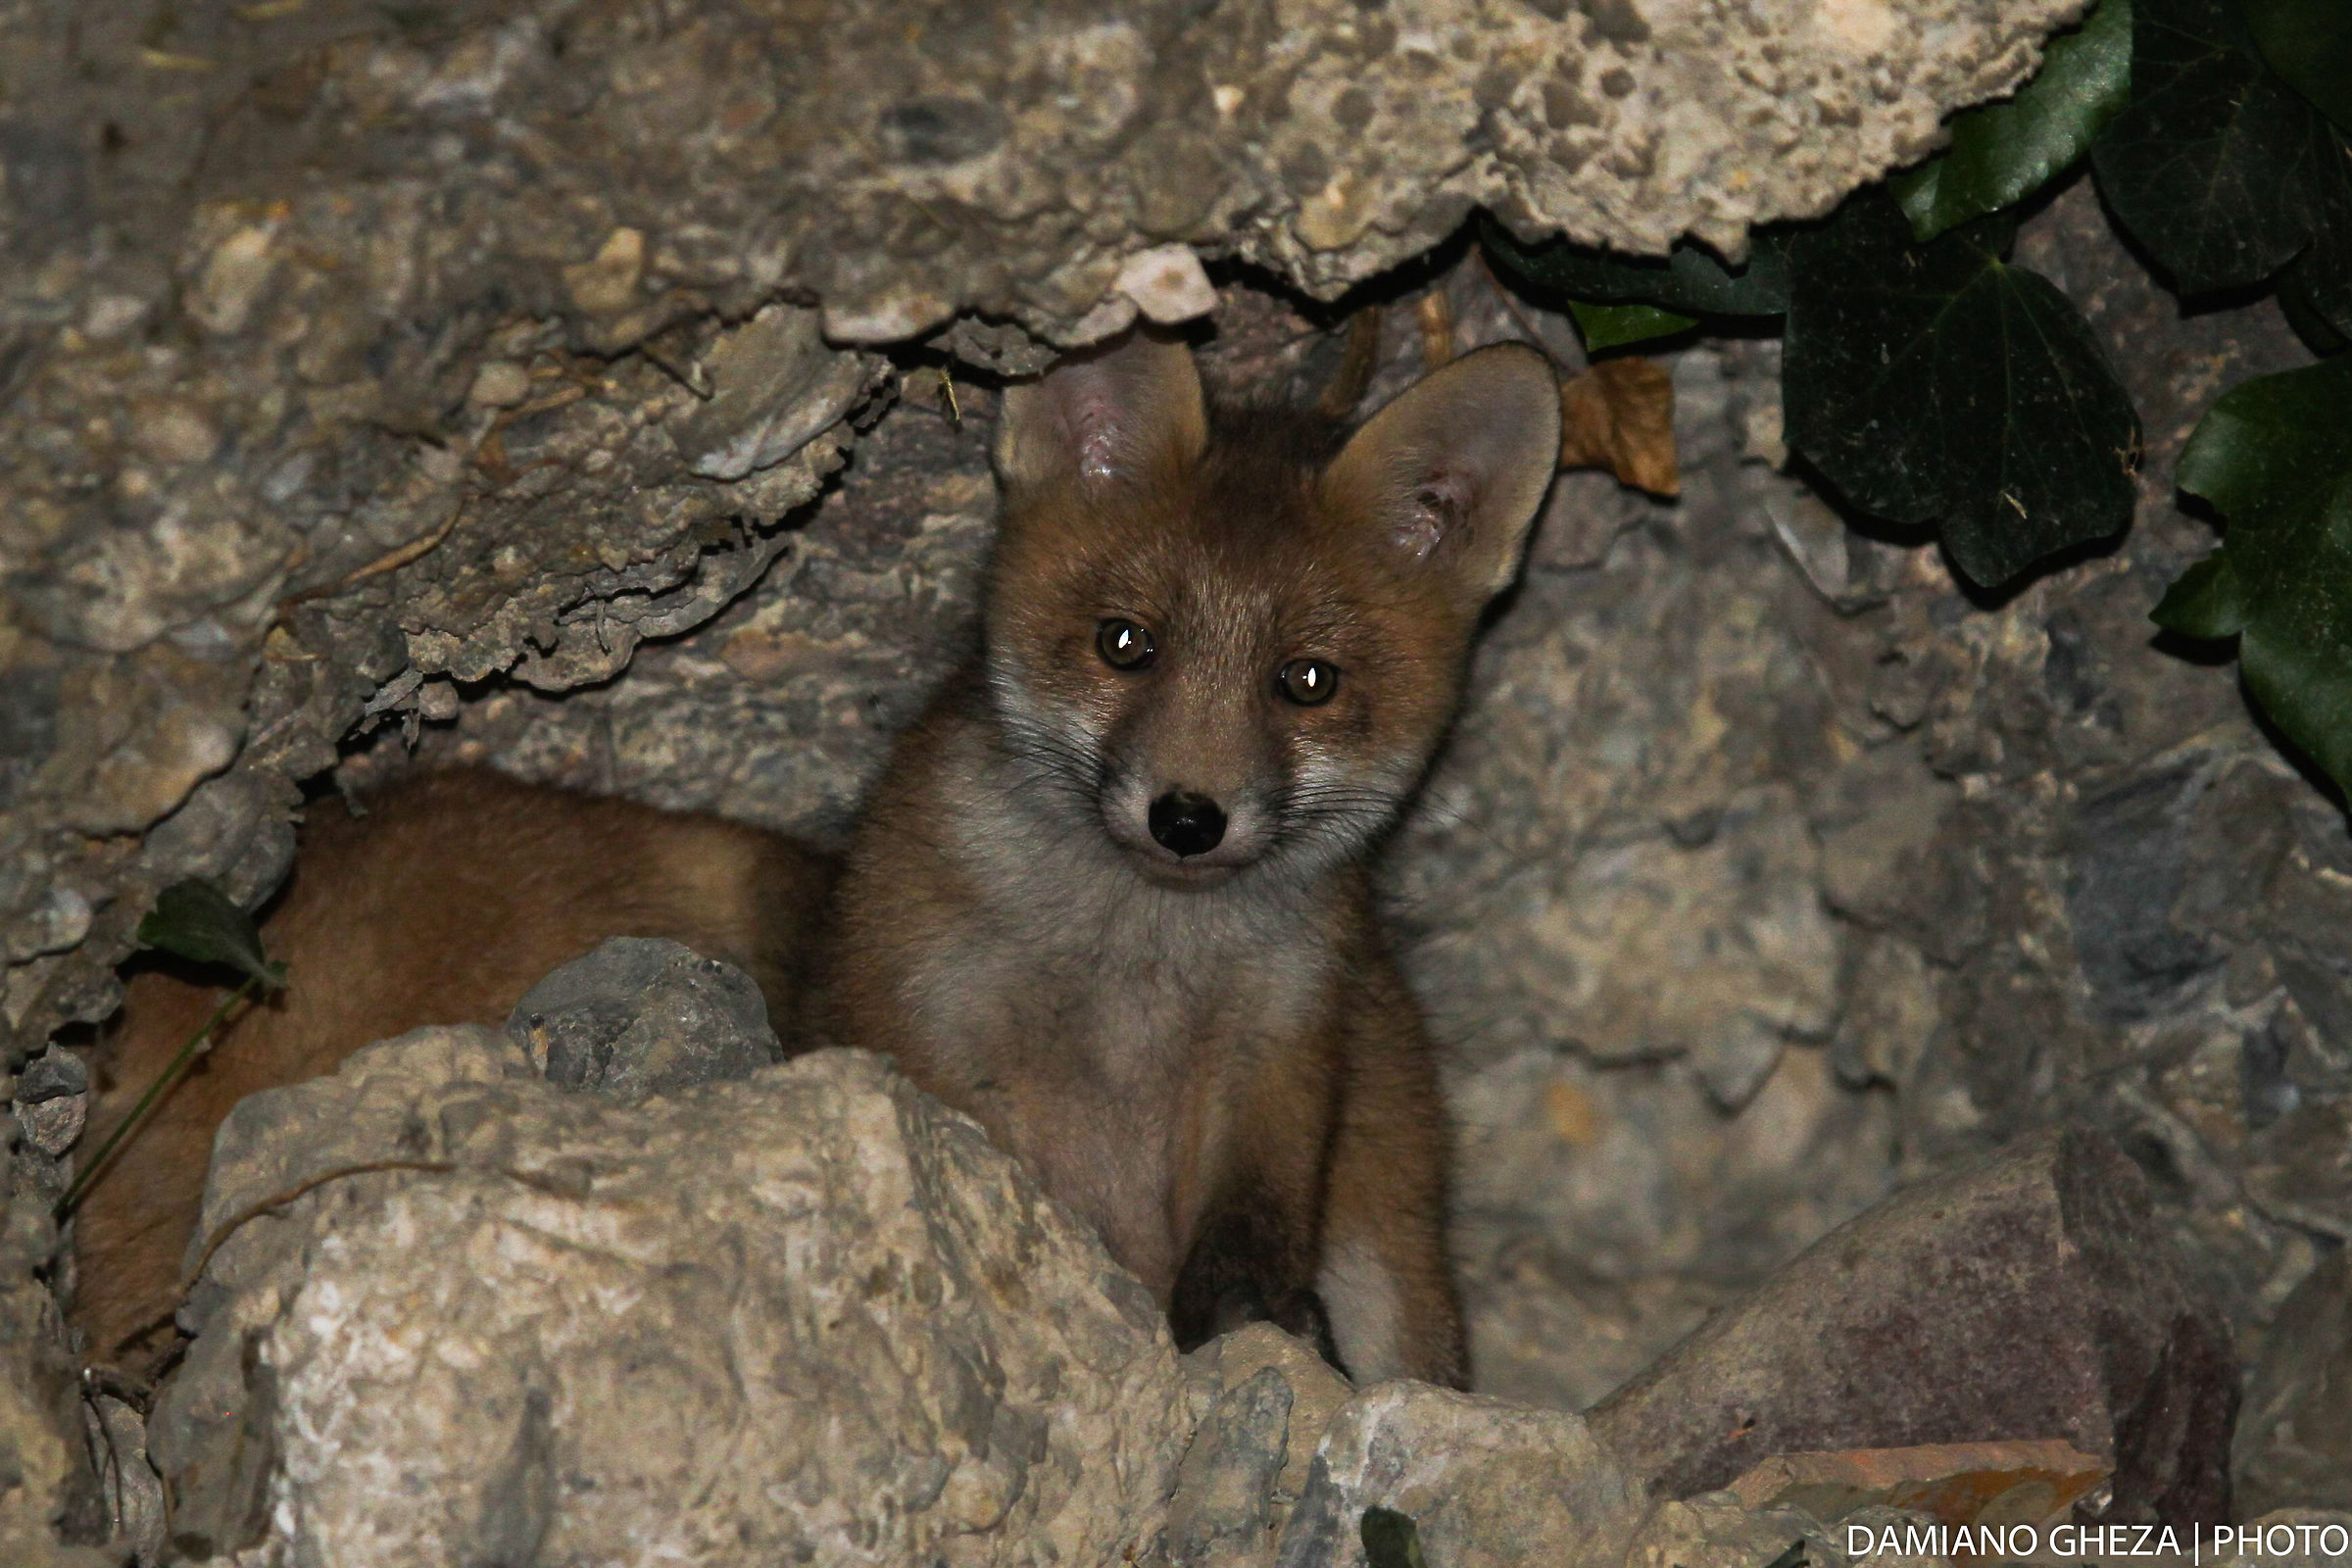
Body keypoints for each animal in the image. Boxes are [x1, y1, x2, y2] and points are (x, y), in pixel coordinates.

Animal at [70, 328, 1562, 1392]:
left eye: (1307, 683)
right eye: (1124, 643)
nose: (1187, 817)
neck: (1131, 976)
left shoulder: (1280, 1062)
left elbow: (1244, 1267)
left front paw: (1240, 1351)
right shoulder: (925, 1029)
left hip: (1386, 1229)